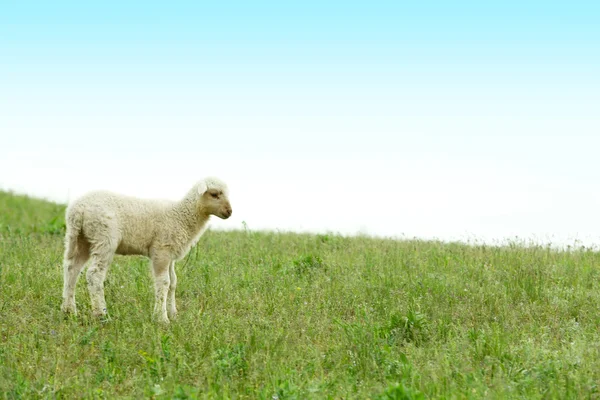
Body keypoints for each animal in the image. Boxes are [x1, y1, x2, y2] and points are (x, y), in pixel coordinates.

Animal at [59, 177, 232, 324]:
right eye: (214, 194)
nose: (230, 212)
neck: (182, 215)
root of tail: (78, 209)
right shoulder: (161, 250)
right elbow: (164, 282)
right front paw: (161, 318)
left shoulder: (170, 254)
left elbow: (173, 282)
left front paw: (173, 313)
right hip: (104, 237)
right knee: (94, 274)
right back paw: (101, 314)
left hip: (81, 239)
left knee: (71, 269)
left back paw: (69, 311)